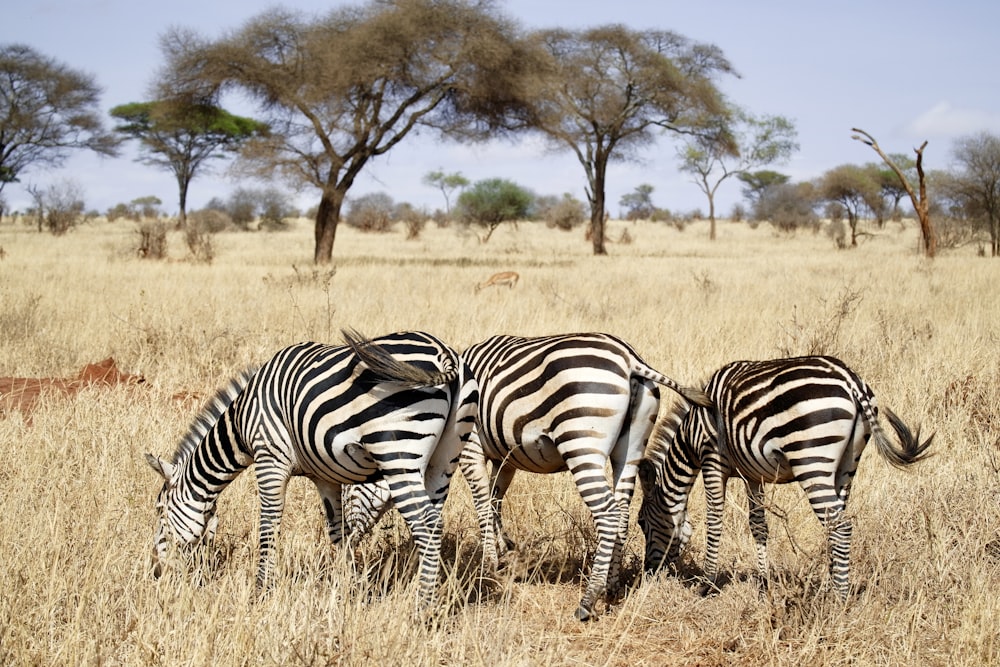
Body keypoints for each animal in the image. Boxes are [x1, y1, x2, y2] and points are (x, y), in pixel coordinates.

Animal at [144, 328, 480, 612]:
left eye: (159, 511)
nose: (156, 571)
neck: (241, 421)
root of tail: (444, 353)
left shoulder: (270, 457)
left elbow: (268, 524)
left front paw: (262, 591)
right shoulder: (324, 475)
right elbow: (338, 533)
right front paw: (347, 589)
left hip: (398, 454)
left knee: (428, 525)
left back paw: (420, 611)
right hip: (444, 458)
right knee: (432, 520)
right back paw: (421, 592)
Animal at [636, 354, 932, 600]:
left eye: (641, 522)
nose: (649, 572)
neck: (690, 435)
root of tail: (851, 380)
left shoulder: (713, 460)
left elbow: (714, 520)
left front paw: (707, 584)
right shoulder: (752, 475)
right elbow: (758, 526)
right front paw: (763, 584)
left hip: (812, 460)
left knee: (840, 527)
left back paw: (840, 598)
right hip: (848, 465)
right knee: (835, 523)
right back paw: (831, 584)